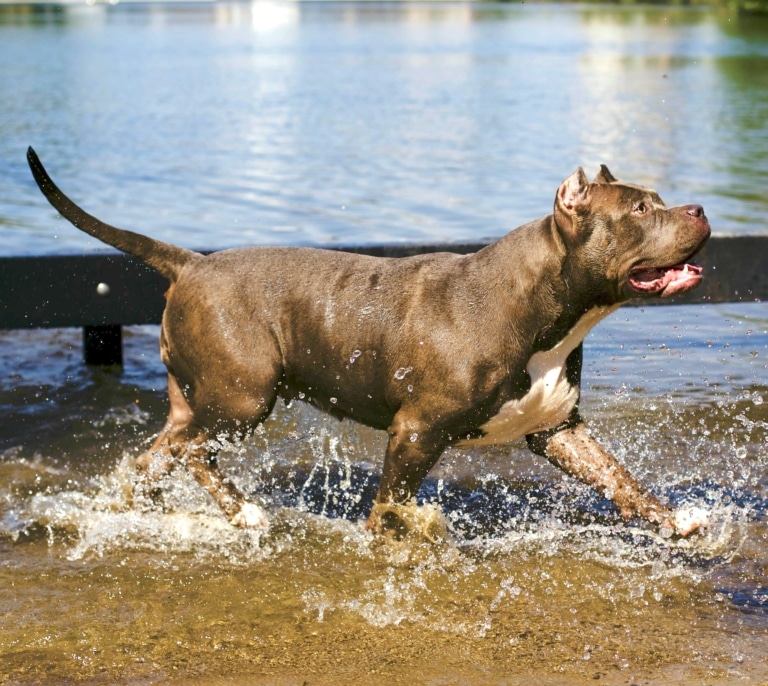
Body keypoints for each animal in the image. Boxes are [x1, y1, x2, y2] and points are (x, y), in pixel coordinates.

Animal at [30, 148, 712, 540]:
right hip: (244, 397)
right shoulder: (415, 431)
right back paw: (245, 513)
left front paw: (675, 519)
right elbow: (393, 503)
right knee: (195, 451)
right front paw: (399, 538)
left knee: (159, 454)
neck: (545, 305)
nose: (701, 208)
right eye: (642, 209)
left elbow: (620, 479)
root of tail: (192, 264)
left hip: (202, 400)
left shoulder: (558, 429)